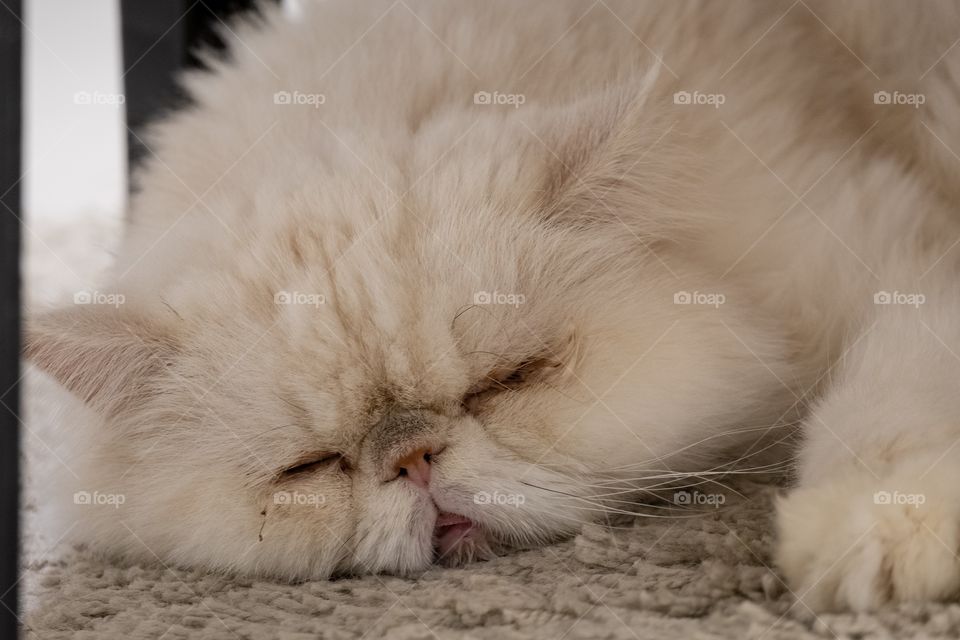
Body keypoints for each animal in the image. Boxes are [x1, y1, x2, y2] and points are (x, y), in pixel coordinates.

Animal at [24, 0, 960, 608]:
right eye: (310, 467)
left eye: (508, 381)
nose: (413, 459)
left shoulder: (902, 258)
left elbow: (894, 392)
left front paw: (882, 538)